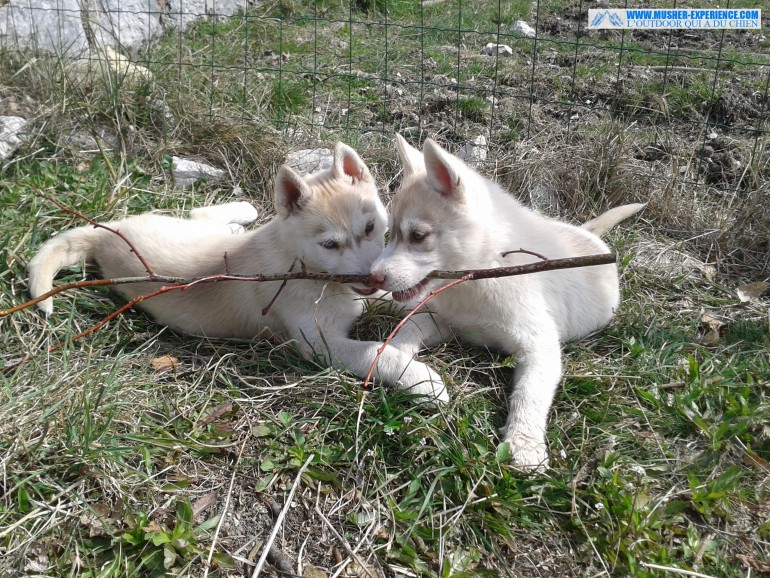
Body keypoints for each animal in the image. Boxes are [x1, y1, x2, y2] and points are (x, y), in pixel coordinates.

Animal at [28, 142, 444, 398]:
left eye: (371, 227)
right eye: (329, 245)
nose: (368, 278)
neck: (306, 268)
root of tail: (106, 232)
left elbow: (394, 296)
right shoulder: (320, 345)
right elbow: (376, 352)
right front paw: (421, 379)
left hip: (191, 227)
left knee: (202, 213)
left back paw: (241, 214)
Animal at [368, 136, 644, 468]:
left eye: (418, 236)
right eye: (391, 232)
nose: (373, 277)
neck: (481, 274)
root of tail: (586, 233)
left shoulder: (539, 346)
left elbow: (529, 393)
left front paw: (524, 443)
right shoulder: (447, 320)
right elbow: (410, 327)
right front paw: (402, 364)